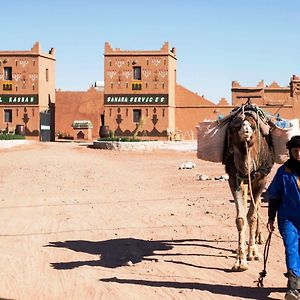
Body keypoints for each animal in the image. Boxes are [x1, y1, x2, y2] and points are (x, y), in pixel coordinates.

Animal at [223, 103, 274, 272]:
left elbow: (252, 216)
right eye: (235, 126)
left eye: (252, 125)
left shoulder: (261, 179)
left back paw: (258, 238)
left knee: (256, 207)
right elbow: (240, 218)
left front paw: (252, 252)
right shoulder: (234, 179)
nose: (245, 129)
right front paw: (240, 261)